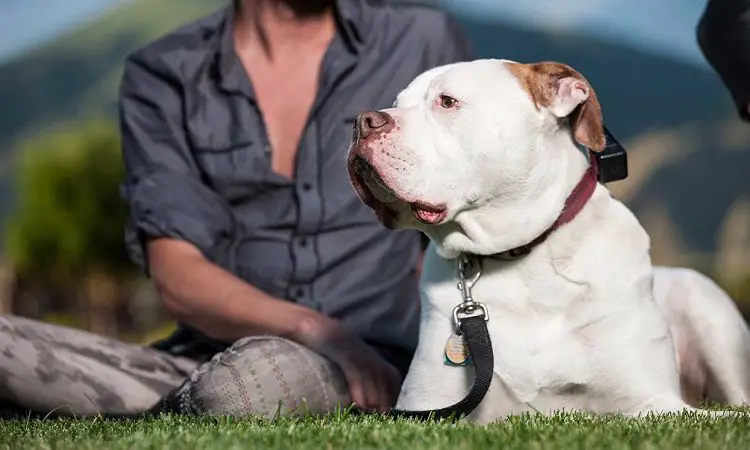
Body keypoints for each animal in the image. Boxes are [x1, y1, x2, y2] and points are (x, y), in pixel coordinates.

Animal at [348, 59, 750, 422]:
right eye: (397, 102)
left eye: (447, 101)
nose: (362, 120)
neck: (521, 259)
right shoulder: (423, 408)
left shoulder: (654, 403)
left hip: (704, 306)